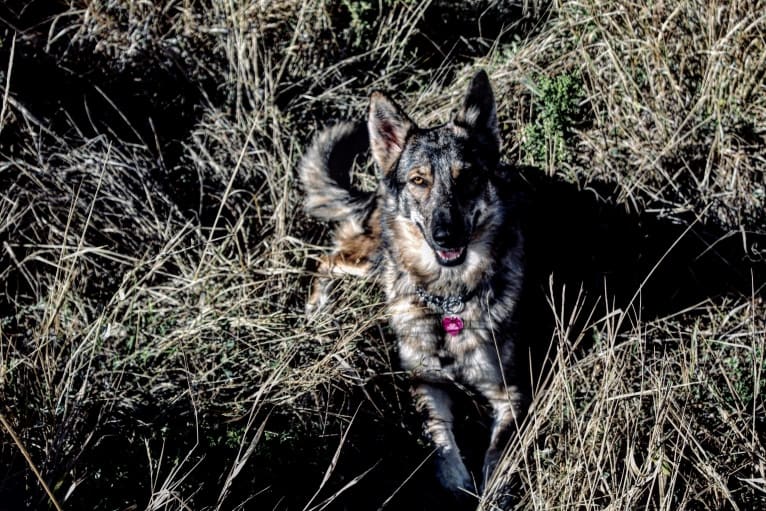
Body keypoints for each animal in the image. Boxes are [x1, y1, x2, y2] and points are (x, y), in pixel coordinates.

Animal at [300, 71, 528, 496]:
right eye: (419, 181)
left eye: (467, 176)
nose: (446, 236)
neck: (448, 301)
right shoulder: (425, 383)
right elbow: (438, 438)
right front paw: (455, 483)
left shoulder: (511, 394)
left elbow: (497, 455)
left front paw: (491, 493)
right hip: (376, 259)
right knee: (327, 259)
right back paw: (316, 309)